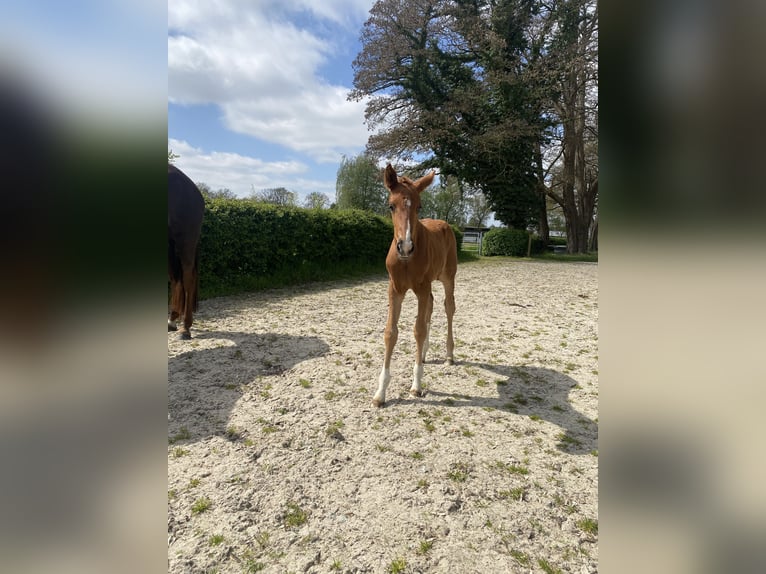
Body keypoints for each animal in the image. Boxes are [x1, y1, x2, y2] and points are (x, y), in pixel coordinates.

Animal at [372, 164, 457, 407]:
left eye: (419, 206)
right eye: (391, 205)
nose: (406, 247)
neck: (406, 262)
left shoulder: (421, 287)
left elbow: (418, 330)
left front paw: (417, 386)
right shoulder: (395, 289)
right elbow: (390, 333)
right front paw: (380, 393)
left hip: (448, 277)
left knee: (448, 307)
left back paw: (449, 355)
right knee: (431, 304)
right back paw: (426, 354)